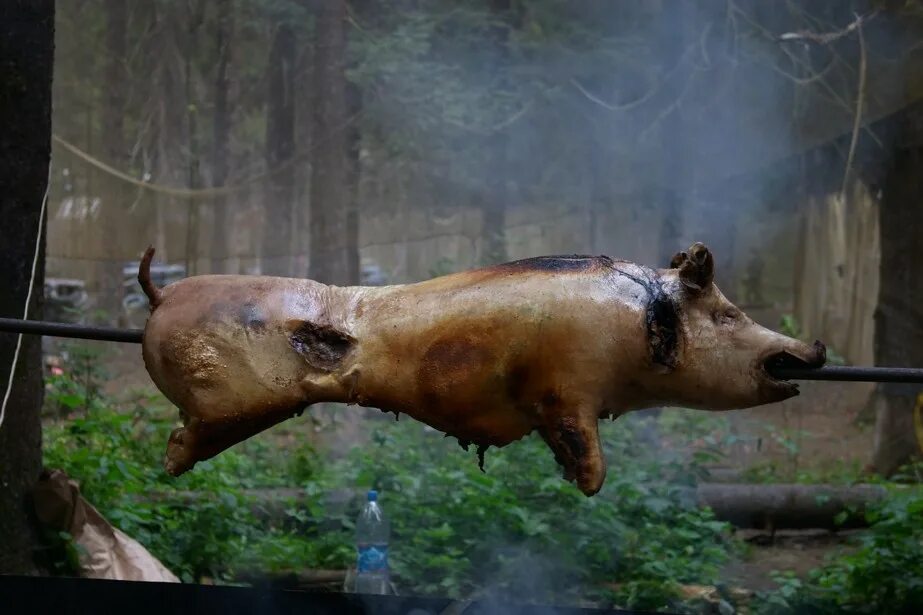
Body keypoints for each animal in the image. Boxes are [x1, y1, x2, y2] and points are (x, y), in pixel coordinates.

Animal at [137, 243, 824, 498]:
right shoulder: (566, 390)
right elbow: (583, 447)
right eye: (728, 313)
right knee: (178, 444)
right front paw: (587, 486)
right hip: (223, 406)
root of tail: (158, 294)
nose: (815, 349)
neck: (640, 324)